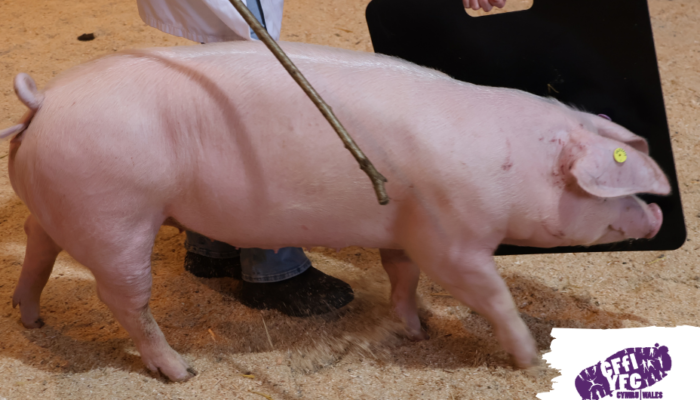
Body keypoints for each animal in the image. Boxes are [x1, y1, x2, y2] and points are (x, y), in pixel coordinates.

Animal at [2, 41, 670, 381]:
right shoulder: (453, 235)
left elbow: (402, 273)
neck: (510, 161)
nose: (659, 218)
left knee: (38, 240)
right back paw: (180, 371)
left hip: (67, 207)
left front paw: (415, 329)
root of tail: (45, 101)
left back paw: (29, 318)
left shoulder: (407, 226)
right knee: (124, 299)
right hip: (117, 214)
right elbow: (489, 293)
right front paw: (530, 360)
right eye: (614, 176)